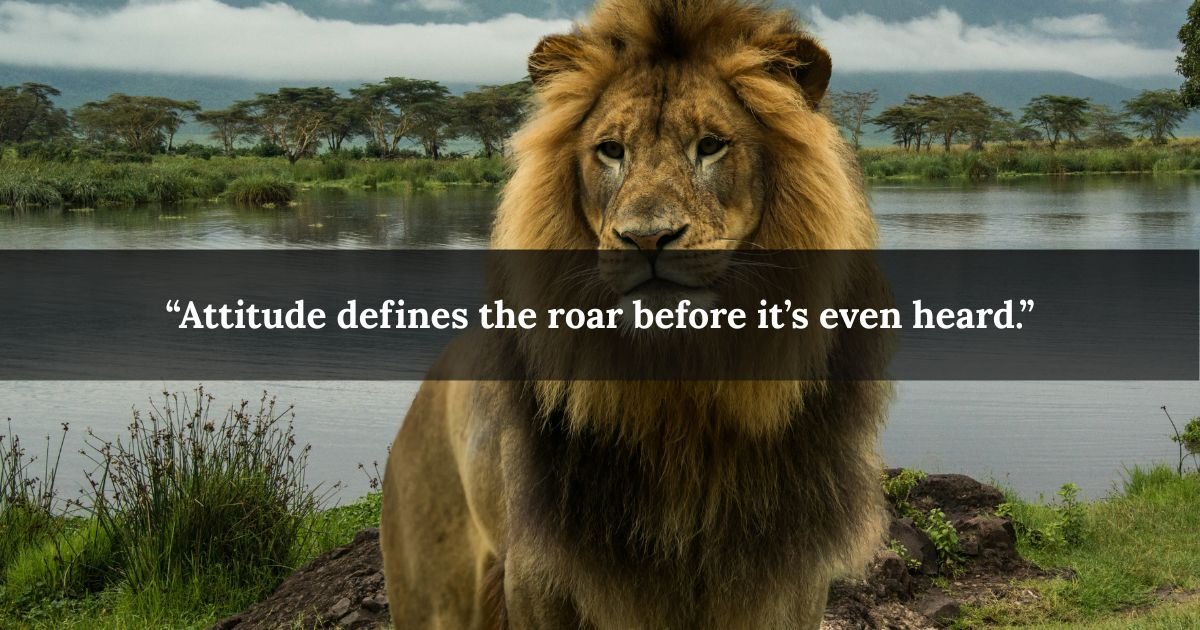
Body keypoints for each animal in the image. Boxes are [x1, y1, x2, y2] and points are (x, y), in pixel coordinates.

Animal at [380, 0, 892, 628]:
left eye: (711, 145)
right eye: (611, 150)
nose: (647, 239)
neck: (679, 389)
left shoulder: (784, 578)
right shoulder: (540, 573)